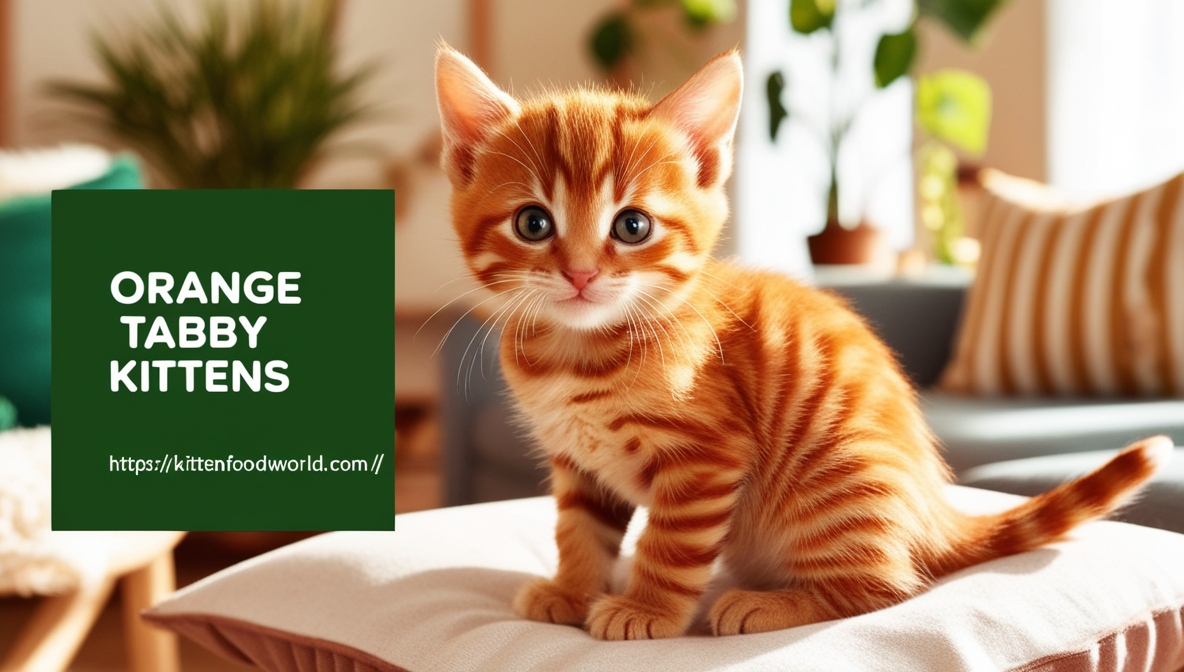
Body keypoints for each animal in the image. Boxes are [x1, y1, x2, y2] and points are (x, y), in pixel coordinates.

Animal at [430, 44, 1169, 643]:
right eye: (533, 223)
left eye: (632, 225)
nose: (581, 274)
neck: (577, 355)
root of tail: (934, 511)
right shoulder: (578, 464)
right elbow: (579, 530)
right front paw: (572, 588)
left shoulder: (707, 457)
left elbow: (672, 546)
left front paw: (648, 609)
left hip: (837, 480)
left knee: (888, 588)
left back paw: (769, 604)